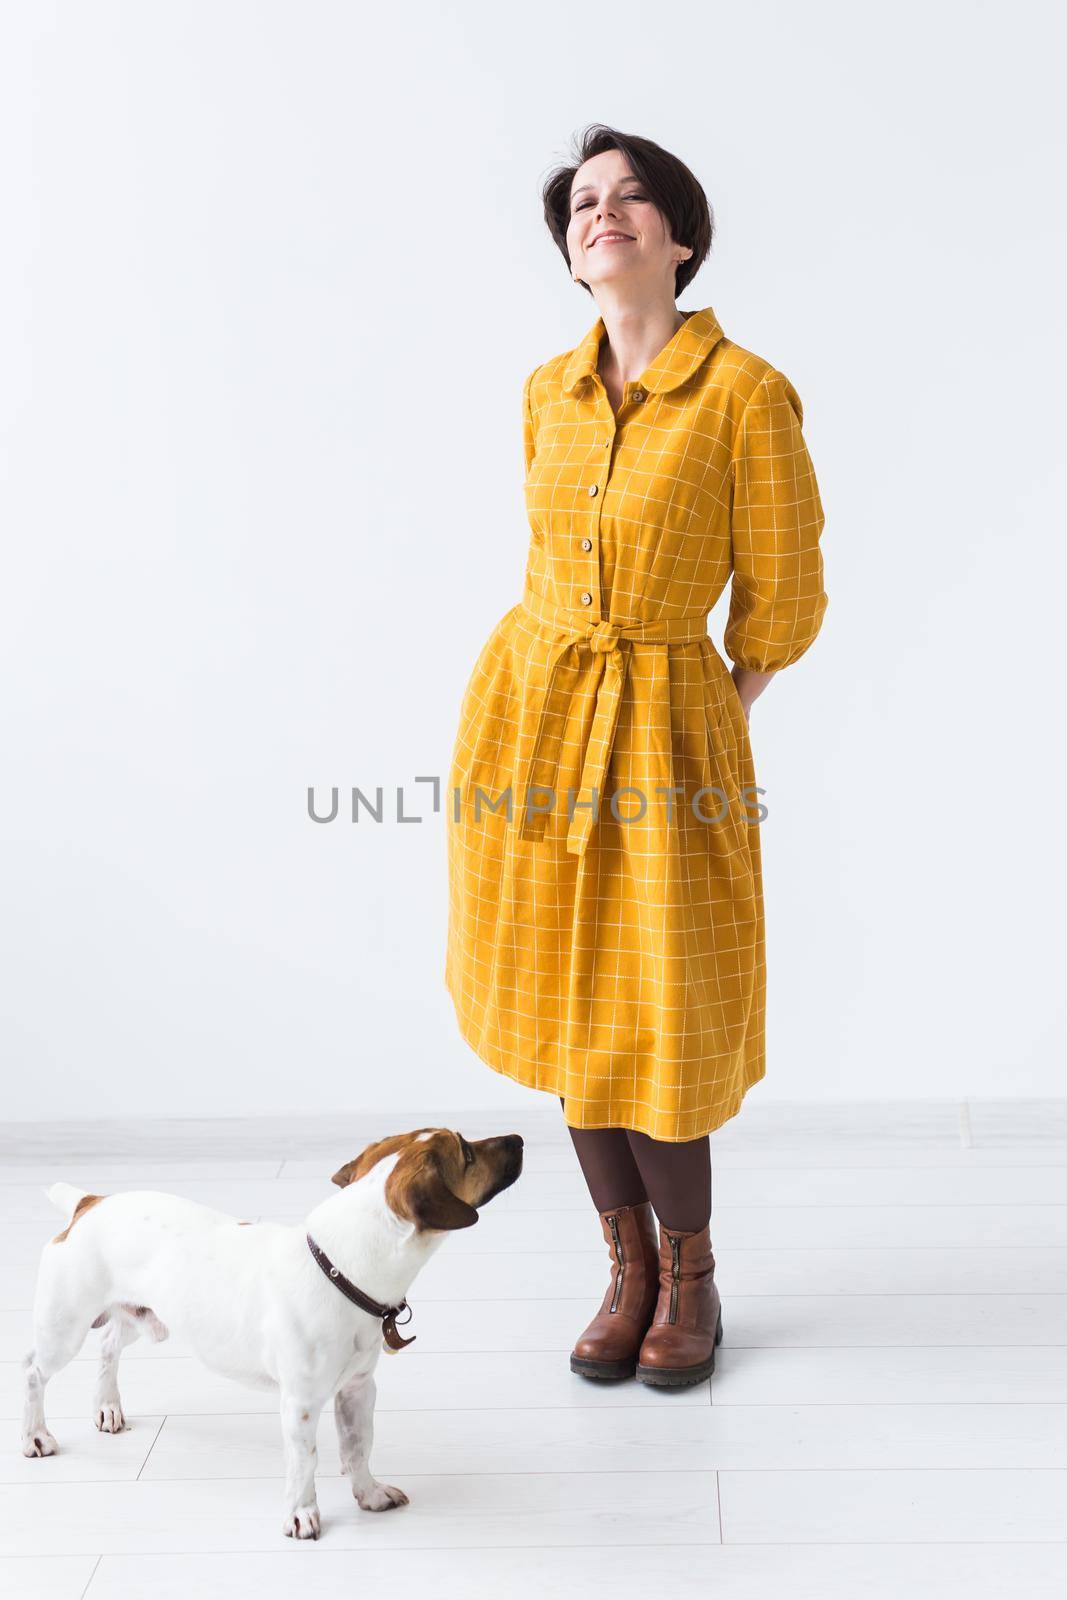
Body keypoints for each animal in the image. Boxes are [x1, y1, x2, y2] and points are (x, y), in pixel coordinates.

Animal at [22, 1126, 524, 1536]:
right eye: (467, 1152)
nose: (518, 1138)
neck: (340, 1267)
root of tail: (90, 1202)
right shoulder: (300, 1403)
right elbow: (306, 1460)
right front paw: (302, 1515)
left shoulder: (358, 1389)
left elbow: (359, 1446)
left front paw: (369, 1494)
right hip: (65, 1326)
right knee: (33, 1371)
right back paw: (34, 1436)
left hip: (144, 1317)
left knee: (109, 1345)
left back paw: (107, 1407)